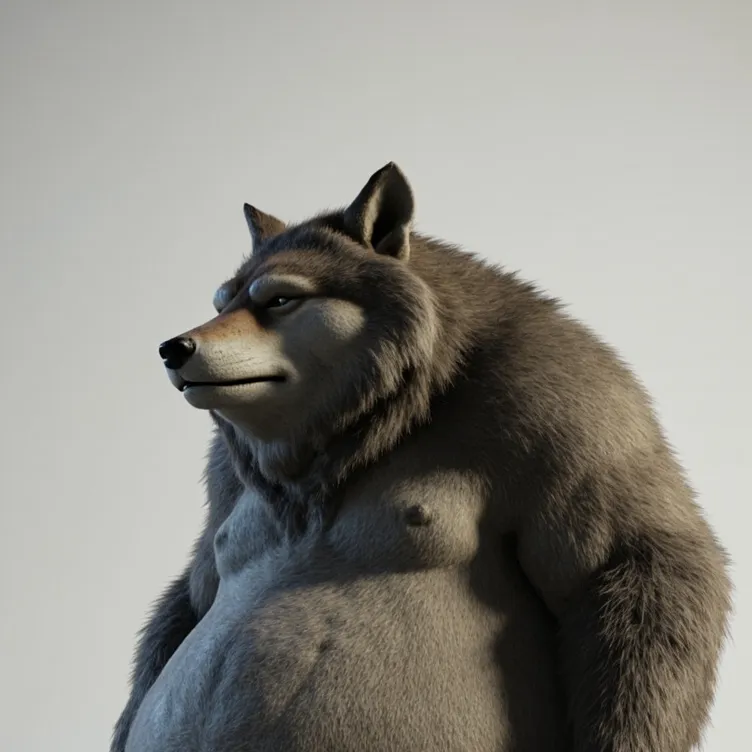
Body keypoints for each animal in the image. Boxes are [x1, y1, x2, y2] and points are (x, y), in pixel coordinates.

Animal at [112, 162, 731, 752]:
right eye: (221, 303)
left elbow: (636, 562)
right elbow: (197, 590)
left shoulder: (566, 392)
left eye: (279, 299)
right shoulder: (223, 479)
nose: (173, 347)